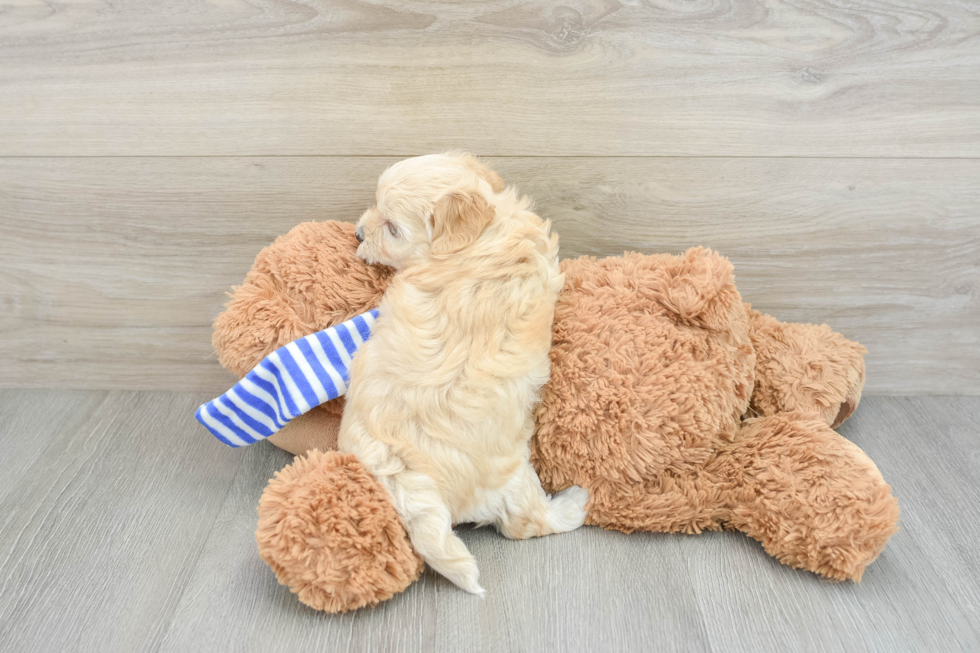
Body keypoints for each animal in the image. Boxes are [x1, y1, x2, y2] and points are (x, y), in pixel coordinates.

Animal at [340, 154, 588, 596]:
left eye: (392, 228)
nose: (357, 235)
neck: (481, 237)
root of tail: (405, 474)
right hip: (514, 477)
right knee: (525, 523)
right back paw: (574, 505)